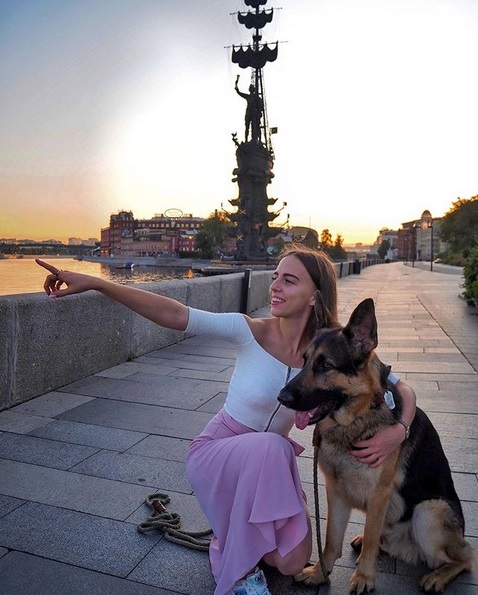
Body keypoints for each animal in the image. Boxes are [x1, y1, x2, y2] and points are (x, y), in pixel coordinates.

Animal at [278, 298, 472, 595]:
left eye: (326, 365)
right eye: (304, 361)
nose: (282, 397)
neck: (357, 418)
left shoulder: (380, 494)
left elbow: (370, 542)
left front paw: (363, 578)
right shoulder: (335, 491)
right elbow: (331, 539)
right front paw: (320, 573)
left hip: (428, 512)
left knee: (466, 557)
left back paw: (438, 576)